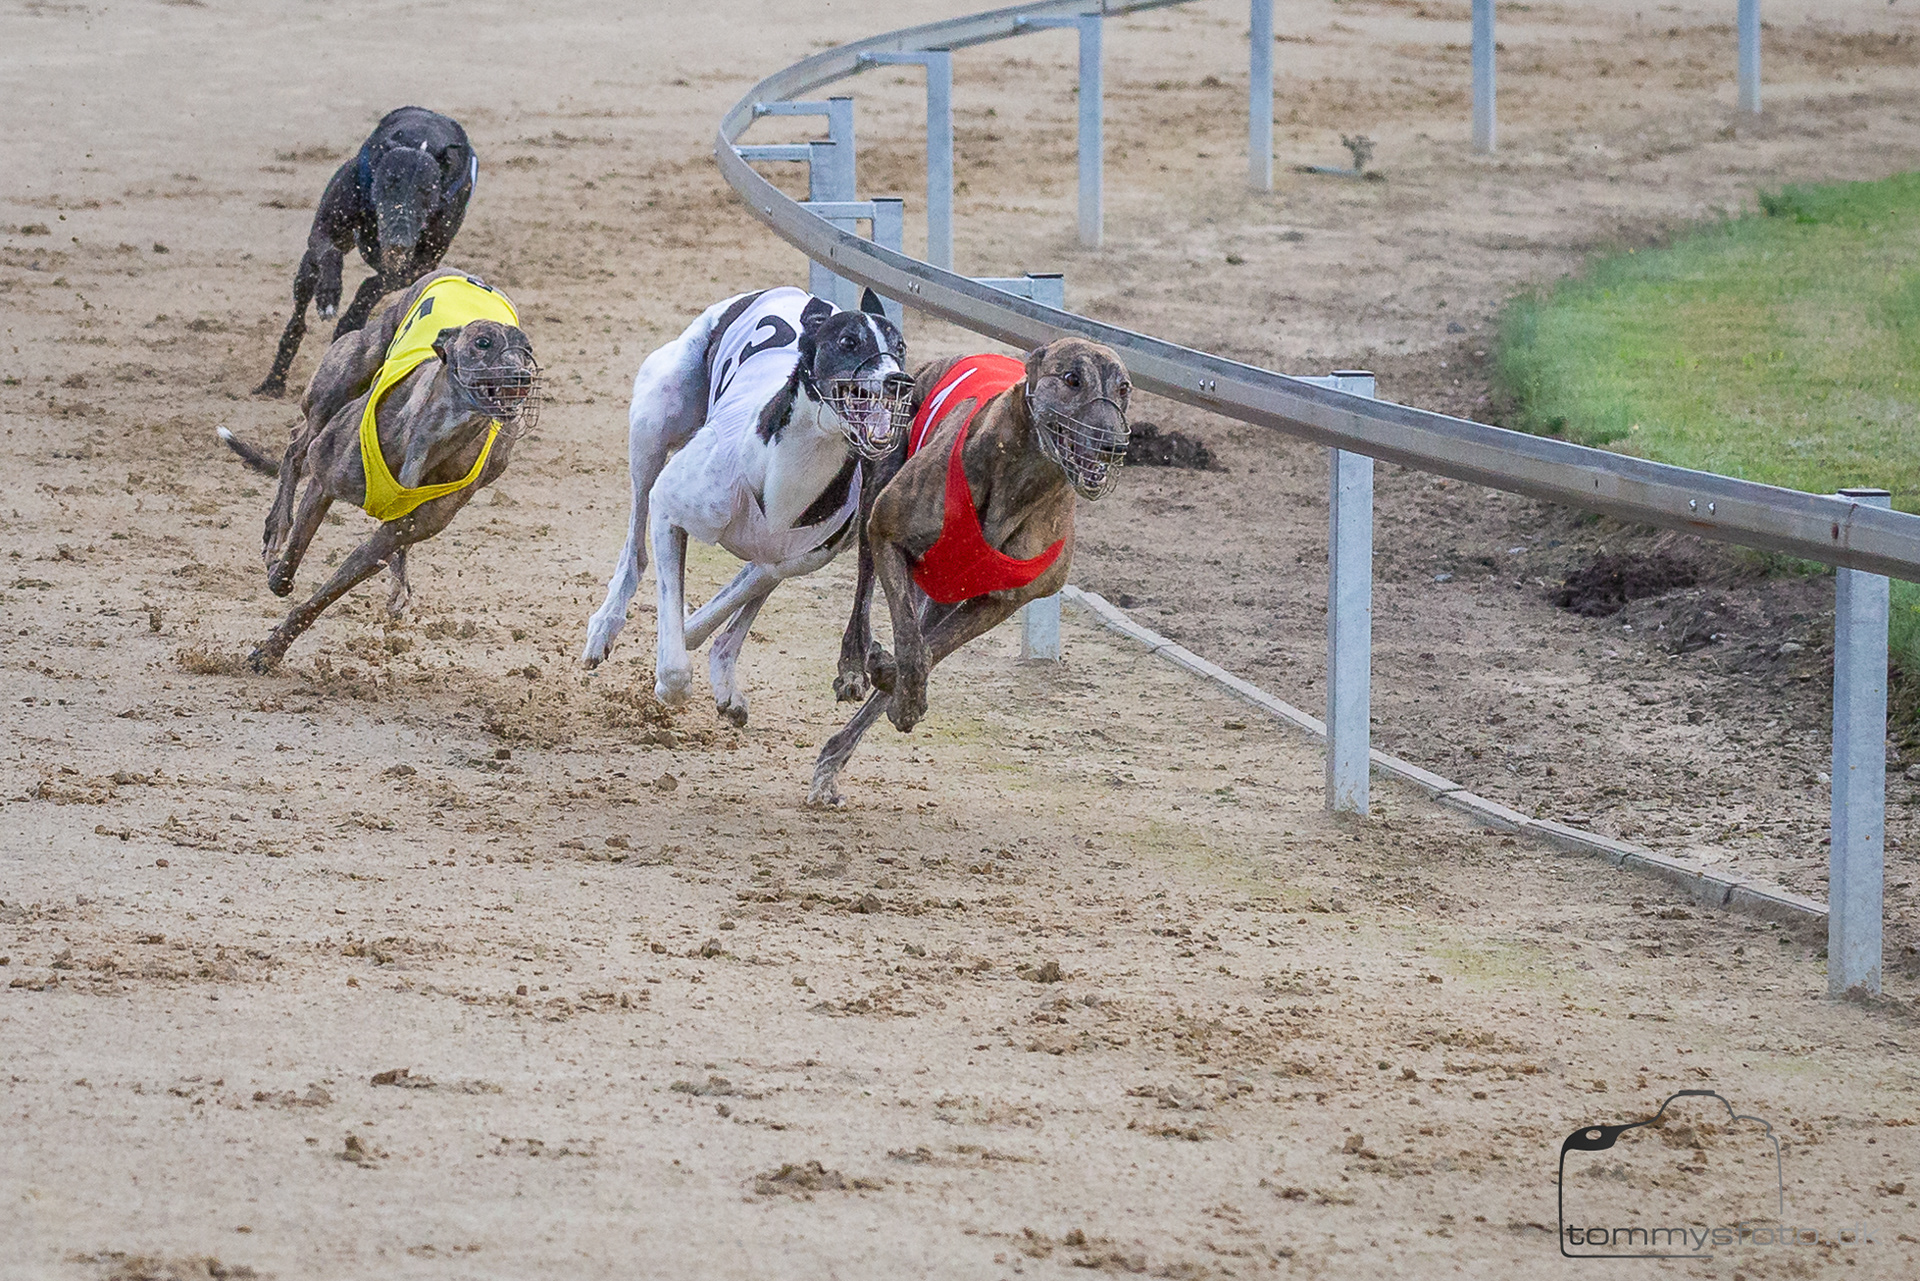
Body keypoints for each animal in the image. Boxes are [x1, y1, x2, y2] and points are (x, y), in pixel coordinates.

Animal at [220, 268, 539, 670]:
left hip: (496, 462)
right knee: (296, 446)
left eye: (528, 351)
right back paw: (277, 529)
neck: (432, 436)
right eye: (483, 342)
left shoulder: (391, 535)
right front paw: (279, 578)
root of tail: (469, 275)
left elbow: (330, 591)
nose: (522, 378)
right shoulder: (324, 483)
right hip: (342, 379)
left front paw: (272, 649)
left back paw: (399, 582)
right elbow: (293, 557)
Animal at [254, 107, 477, 397]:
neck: (422, 140)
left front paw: (351, 318)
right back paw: (274, 381)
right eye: (389, 182)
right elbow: (331, 253)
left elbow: (373, 285)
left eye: (427, 191)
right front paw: (329, 296)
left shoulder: (423, 265)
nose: (398, 242)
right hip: (308, 267)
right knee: (299, 316)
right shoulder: (324, 231)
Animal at [580, 286, 910, 728]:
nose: (899, 381)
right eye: (848, 342)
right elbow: (675, 654)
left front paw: (697, 642)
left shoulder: (785, 560)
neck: (790, 465)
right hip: (653, 425)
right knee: (635, 548)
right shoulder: (668, 510)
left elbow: (722, 611)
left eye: (900, 347)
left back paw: (722, 679)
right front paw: (669, 683)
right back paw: (604, 626)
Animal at [809, 338, 1132, 806]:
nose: (1113, 446)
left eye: (1124, 389)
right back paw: (853, 664)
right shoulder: (888, 532)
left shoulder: (998, 602)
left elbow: (928, 650)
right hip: (880, 487)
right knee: (866, 588)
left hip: (944, 585)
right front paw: (900, 693)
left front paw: (893, 681)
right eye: (1072, 379)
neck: (1020, 485)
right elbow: (912, 645)